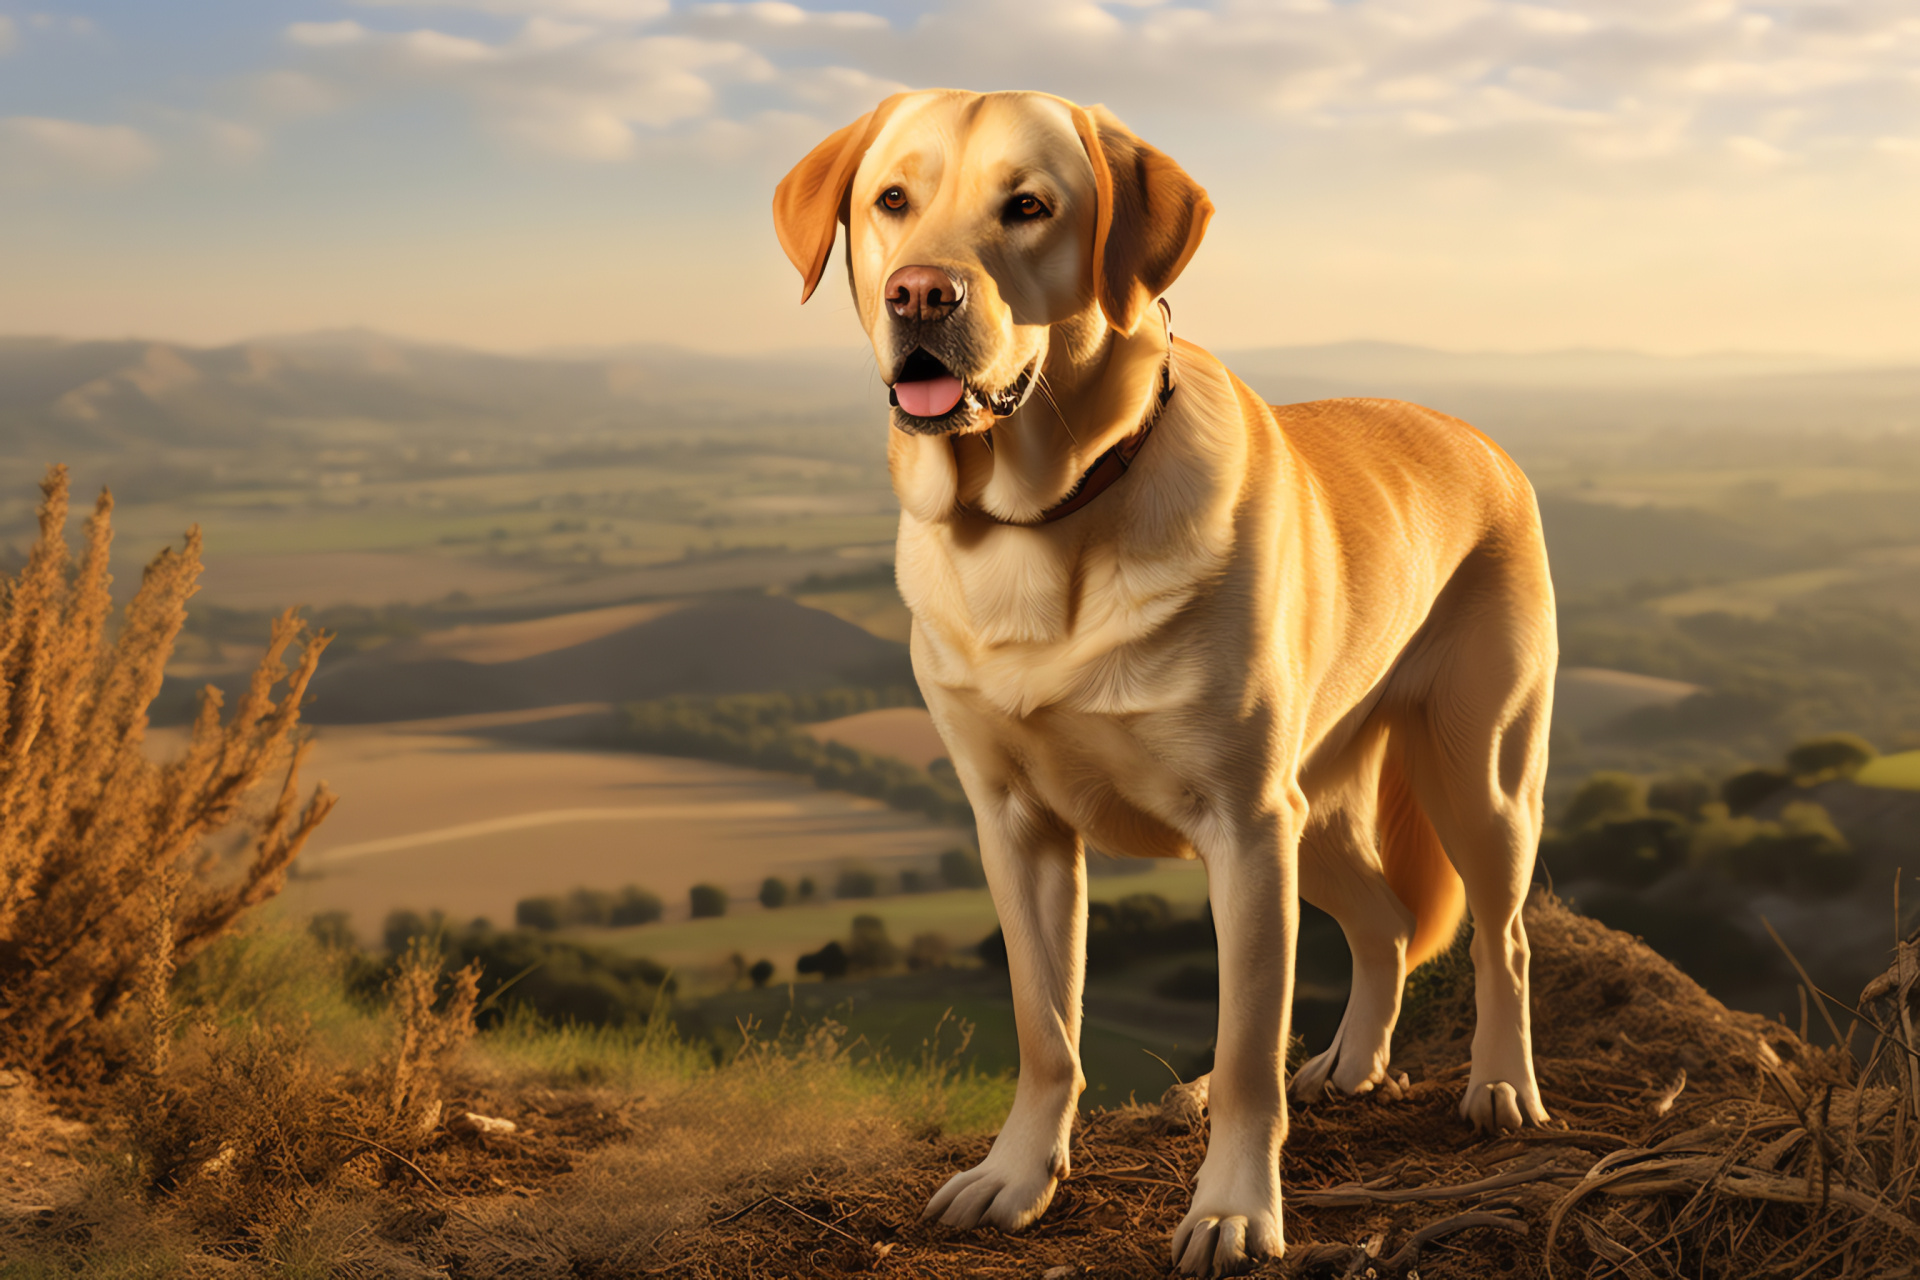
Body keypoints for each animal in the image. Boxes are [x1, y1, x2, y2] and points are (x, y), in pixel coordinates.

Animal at [771, 87, 1551, 1274]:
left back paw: (1502, 1087)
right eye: (892, 201)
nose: (920, 292)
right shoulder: (1017, 824)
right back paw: (1351, 1064)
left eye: (1029, 206)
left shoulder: (1242, 827)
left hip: (1474, 779)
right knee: (1381, 921)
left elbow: (1244, 1052)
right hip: (1315, 809)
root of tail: (1480, 437)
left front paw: (1233, 1210)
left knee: (1502, 936)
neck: (1040, 521)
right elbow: (1045, 1027)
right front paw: (1015, 1178)